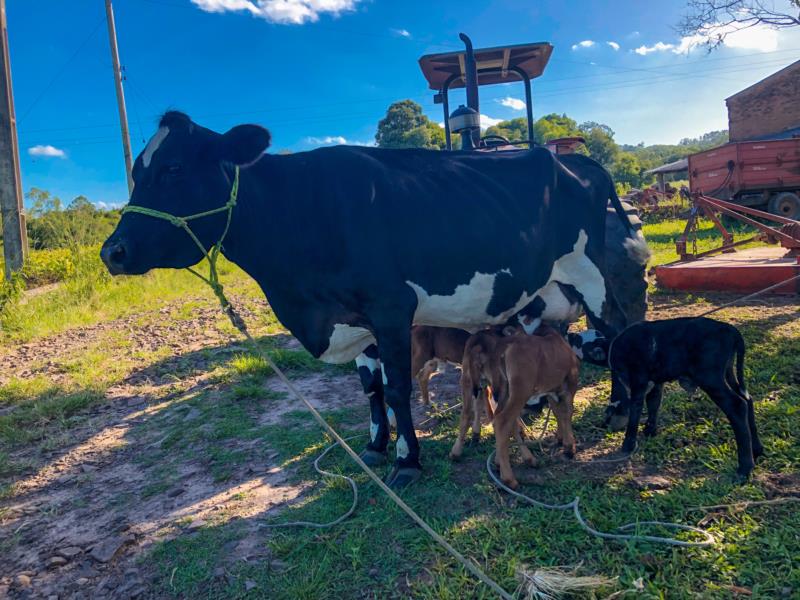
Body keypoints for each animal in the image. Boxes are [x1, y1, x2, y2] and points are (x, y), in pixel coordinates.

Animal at [100, 111, 641, 488]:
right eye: (137, 173)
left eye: (172, 168)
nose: (112, 251)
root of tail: (576, 159)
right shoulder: (355, 318)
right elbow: (371, 389)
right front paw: (376, 446)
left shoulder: (391, 309)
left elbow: (397, 388)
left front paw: (407, 461)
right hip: (544, 292)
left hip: (591, 275)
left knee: (614, 333)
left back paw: (616, 408)